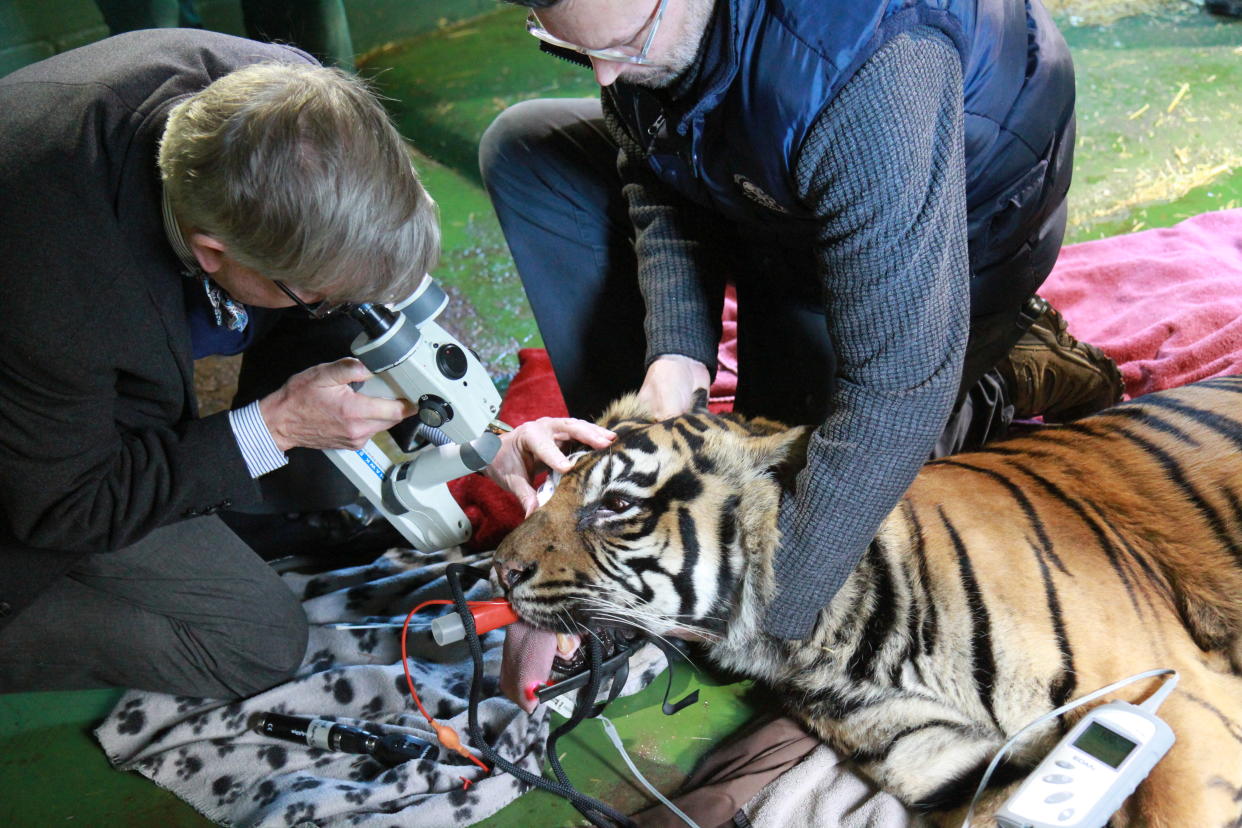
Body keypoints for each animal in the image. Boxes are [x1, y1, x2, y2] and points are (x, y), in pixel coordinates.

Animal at [491, 377, 1242, 828]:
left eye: (616, 505)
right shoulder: (947, 766)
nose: (498, 570)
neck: (838, 646)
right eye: (543, 488)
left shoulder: (1178, 709)